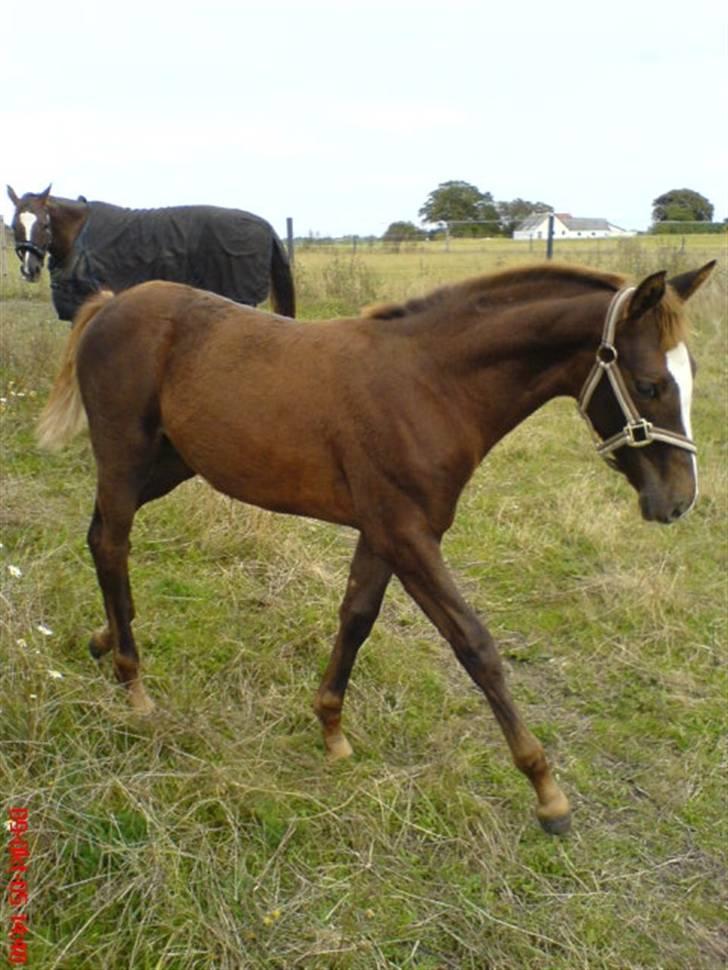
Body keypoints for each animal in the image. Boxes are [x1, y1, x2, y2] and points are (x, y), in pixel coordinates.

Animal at [37, 260, 712, 832]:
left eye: (691, 380)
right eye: (650, 386)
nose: (679, 500)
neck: (431, 384)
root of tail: (112, 303)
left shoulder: (385, 532)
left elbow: (357, 616)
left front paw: (331, 729)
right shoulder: (408, 535)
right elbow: (475, 645)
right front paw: (547, 793)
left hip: (166, 465)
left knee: (100, 537)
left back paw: (104, 639)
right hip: (125, 457)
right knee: (113, 545)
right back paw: (134, 684)